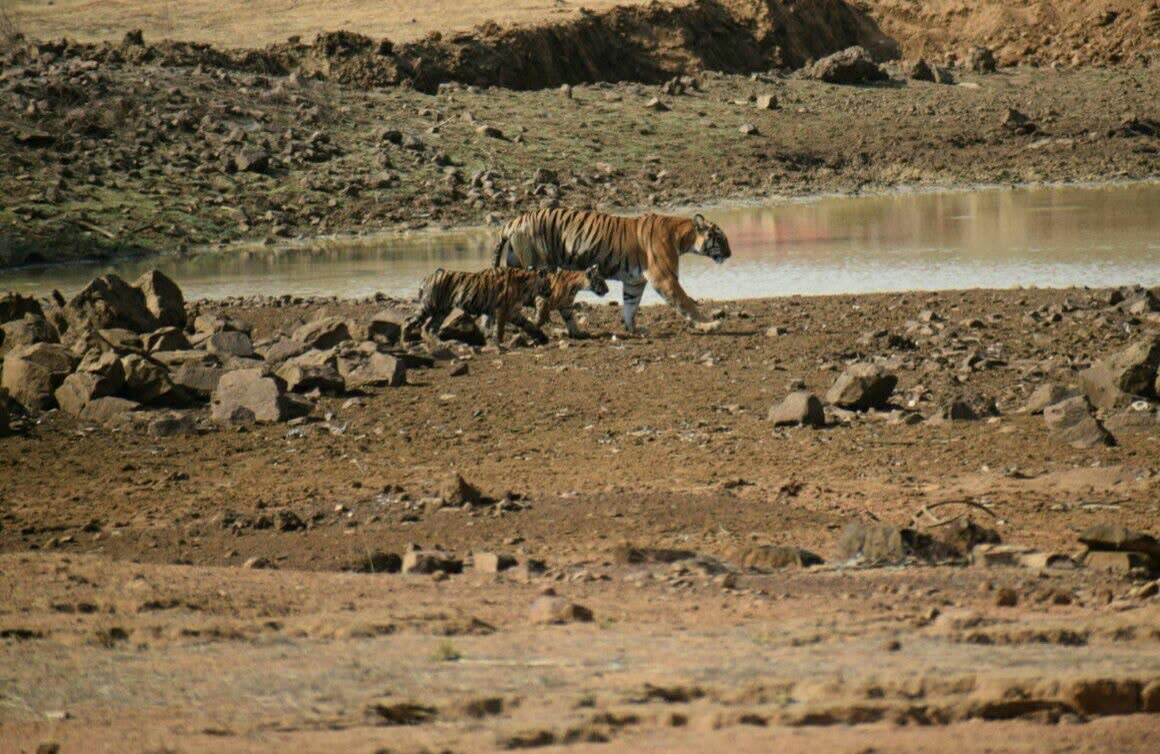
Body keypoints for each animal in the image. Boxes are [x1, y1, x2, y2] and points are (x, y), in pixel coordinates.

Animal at [404, 267, 551, 345]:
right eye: (548, 283)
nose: (550, 292)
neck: (527, 286)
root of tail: (427, 277)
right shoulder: (502, 310)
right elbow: (499, 329)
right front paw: (498, 343)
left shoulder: (513, 312)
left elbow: (529, 325)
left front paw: (543, 338)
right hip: (429, 306)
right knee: (409, 321)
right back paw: (405, 341)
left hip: (442, 311)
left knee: (429, 327)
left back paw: (439, 344)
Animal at [491, 208, 731, 334]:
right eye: (720, 238)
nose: (730, 254)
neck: (683, 237)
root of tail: (513, 221)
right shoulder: (665, 278)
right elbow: (686, 303)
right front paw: (709, 323)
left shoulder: (635, 282)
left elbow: (630, 306)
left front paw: (633, 329)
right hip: (542, 265)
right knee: (543, 300)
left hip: (515, 264)